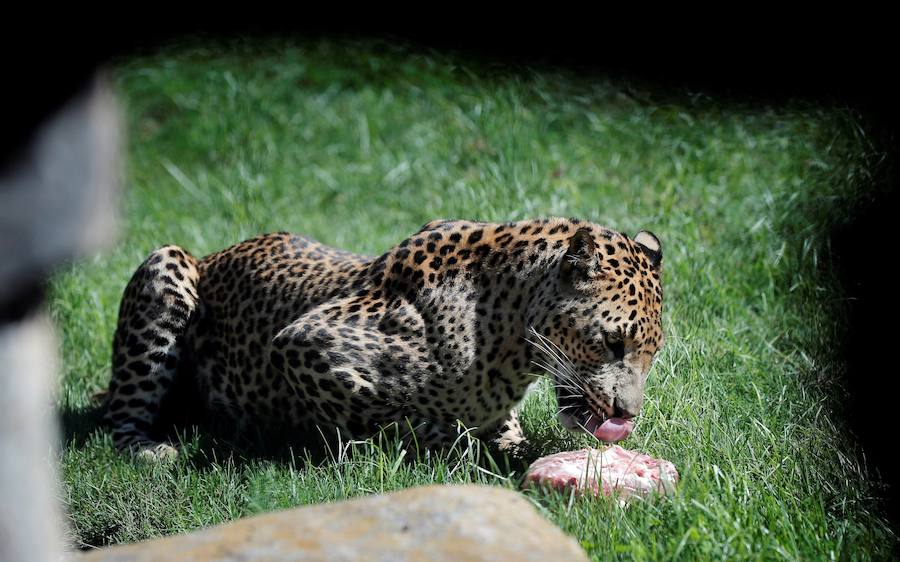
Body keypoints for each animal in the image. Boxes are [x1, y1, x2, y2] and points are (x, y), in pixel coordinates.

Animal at [102, 217, 664, 458]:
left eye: (651, 355)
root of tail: (214, 253)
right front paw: (454, 441)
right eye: (613, 343)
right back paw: (150, 449)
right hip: (166, 263)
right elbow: (393, 419)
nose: (627, 414)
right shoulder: (303, 345)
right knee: (121, 415)